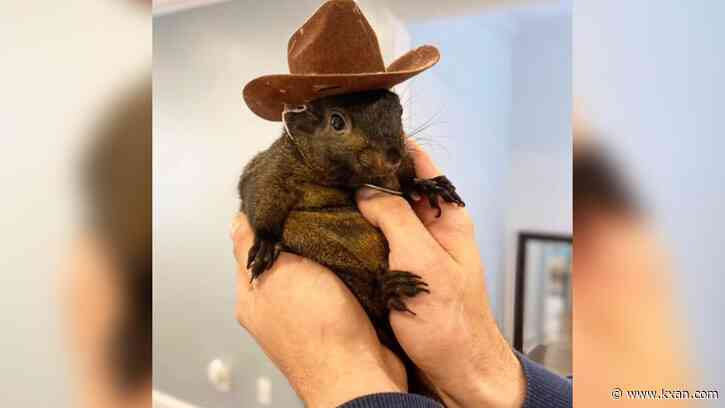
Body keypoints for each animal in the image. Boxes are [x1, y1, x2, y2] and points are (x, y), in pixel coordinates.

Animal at [238, 89, 464, 403]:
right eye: (336, 122)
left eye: (399, 110)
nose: (393, 156)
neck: (344, 179)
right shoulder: (271, 170)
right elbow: (259, 196)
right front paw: (265, 243)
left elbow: (406, 181)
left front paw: (427, 185)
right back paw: (386, 290)